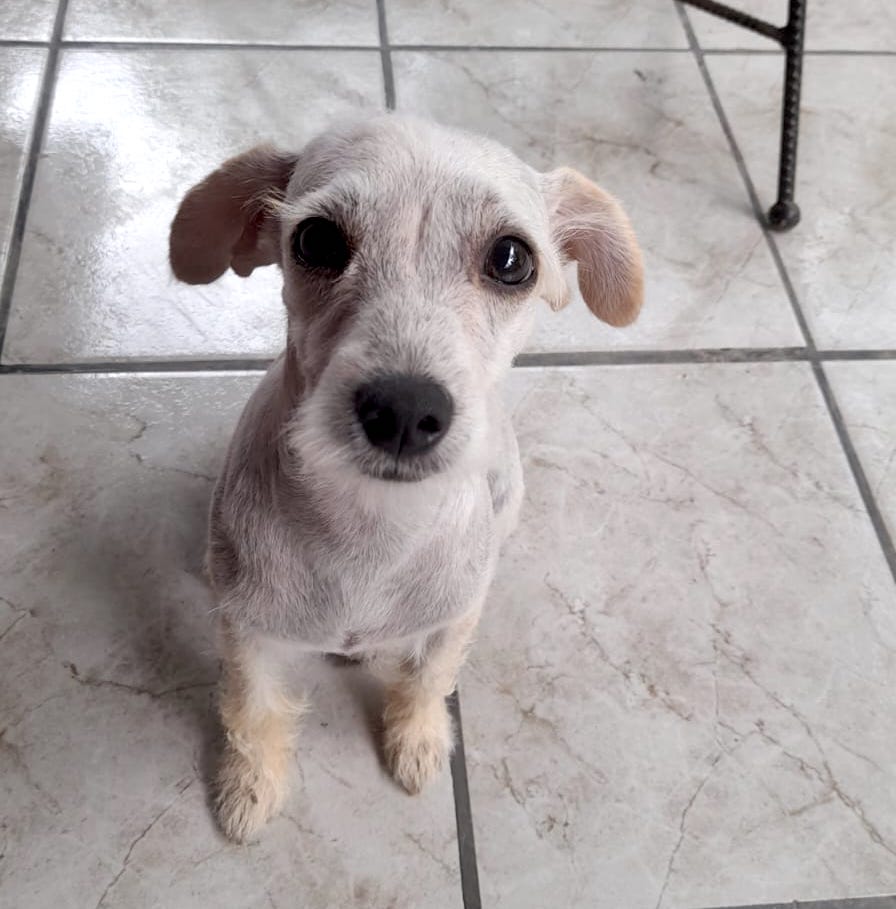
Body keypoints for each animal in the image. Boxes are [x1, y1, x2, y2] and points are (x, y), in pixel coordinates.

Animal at [168, 115, 644, 844]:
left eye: (512, 258)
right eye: (316, 239)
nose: (402, 410)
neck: (372, 527)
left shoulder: (453, 619)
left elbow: (427, 679)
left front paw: (417, 740)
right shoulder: (249, 634)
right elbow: (253, 708)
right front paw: (251, 784)